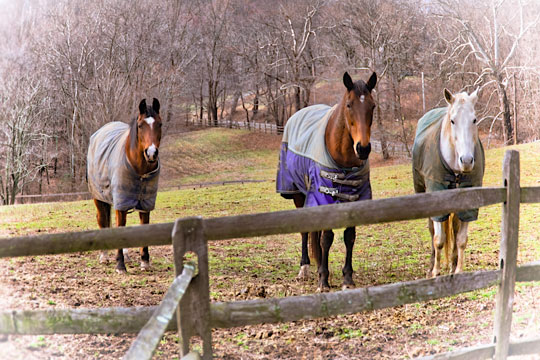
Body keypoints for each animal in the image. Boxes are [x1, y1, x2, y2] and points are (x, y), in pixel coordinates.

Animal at [276, 71, 378, 292]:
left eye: (373, 105)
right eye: (349, 105)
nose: (363, 148)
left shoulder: (354, 198)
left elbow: (349, 237)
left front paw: (347, 278)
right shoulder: (323, 197)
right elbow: (326, 238)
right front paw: (323, 280)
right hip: (299, 196)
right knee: (305, 231)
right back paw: (305, 268)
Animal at [414, 88, 486, 278]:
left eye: (474, 120)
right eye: (453, 121)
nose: (467, 161)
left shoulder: (468, 203)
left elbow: (461, 240)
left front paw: (458, 270)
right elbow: (438, 239)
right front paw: (435, 272)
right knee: (433, 231)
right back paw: (432, 266)